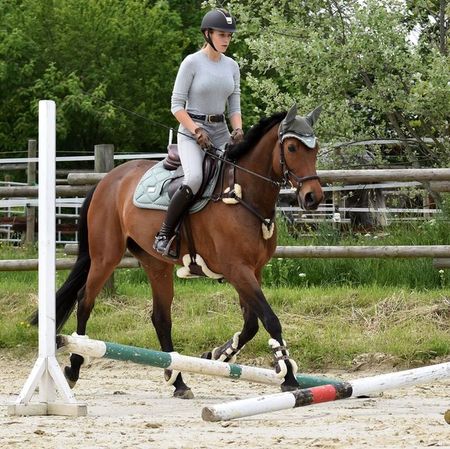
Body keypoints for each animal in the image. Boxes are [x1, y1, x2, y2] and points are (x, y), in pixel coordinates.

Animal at [30, 101, 324, 396]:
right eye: (292, 148)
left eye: (316, 148)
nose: (313, 197)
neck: (241, 194)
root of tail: (107, 180)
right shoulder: (237, 270)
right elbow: (270, 319)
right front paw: (289, 378)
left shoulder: (253, 271)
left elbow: (252, 323)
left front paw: (218, 354)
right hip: (105, 257)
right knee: (85, 301)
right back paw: (73, 368)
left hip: (155, 264)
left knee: (161, 318)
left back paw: (179, 381)